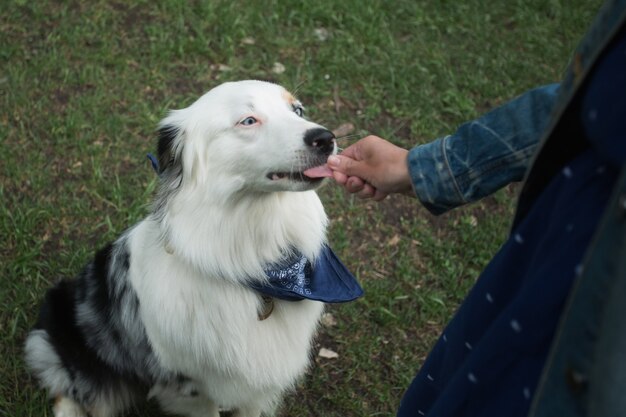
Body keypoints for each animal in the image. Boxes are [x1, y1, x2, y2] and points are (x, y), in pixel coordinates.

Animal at [25, 80, 360, 416]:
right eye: (248, 120)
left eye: (297, 110)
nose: (325, 138)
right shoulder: (189, 389)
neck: (257, 266)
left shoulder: (256, 389)